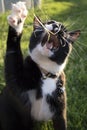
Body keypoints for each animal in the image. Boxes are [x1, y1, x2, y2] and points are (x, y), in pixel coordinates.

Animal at [0, 1, 80, 130]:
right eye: (49, 22)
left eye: (64, 30)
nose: (57, 25)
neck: (45, 73)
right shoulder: (16, 83)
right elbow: (12, 58)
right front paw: (18, 17)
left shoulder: (60, 108)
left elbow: (61, 122)